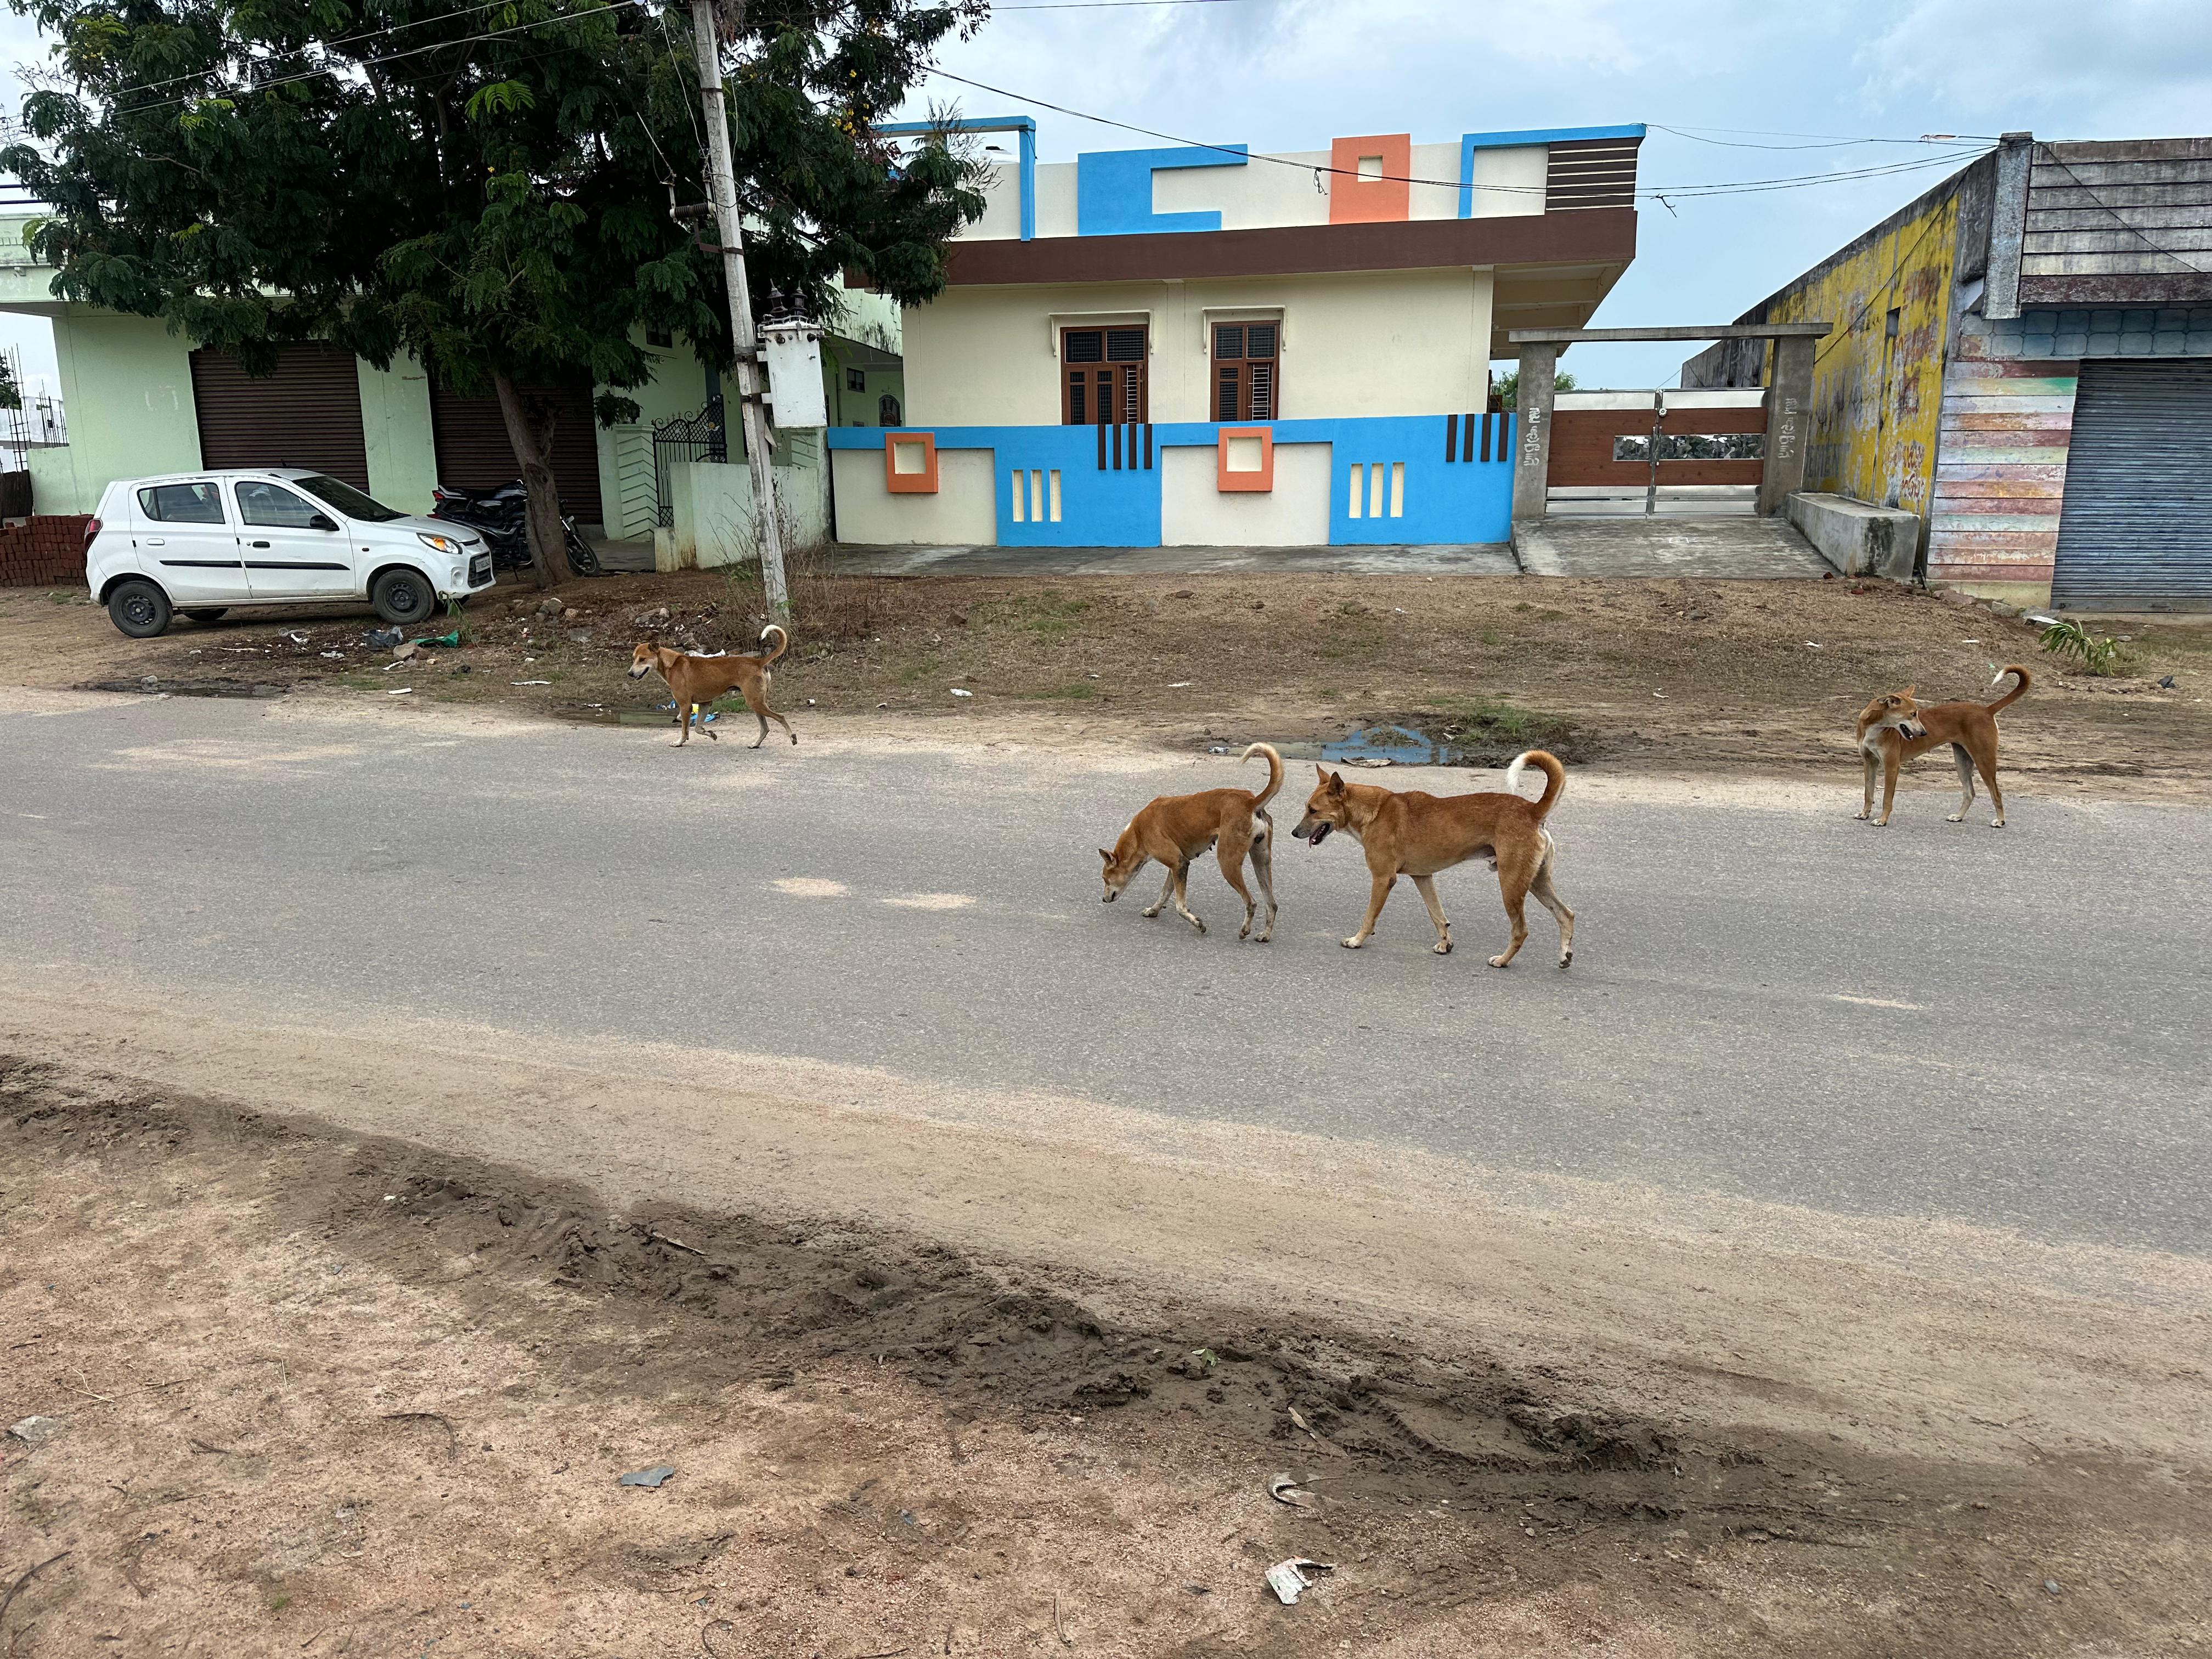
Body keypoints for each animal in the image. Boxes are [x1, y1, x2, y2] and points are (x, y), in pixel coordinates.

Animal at [629, 626, 796, 749]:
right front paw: (710, 733)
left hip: (755, 703)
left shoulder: (685, 706)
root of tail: (758, 662)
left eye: (642, 659)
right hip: (756, 703)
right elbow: (698, 728)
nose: (630, 673)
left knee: (780, 717)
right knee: (765, 728)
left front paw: (679, 743)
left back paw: (792, 737)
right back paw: (756, 744)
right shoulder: (705, 704)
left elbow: (685, 730)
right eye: (634, 658)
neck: (672, 664)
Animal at [1099, 743, 1282, 941]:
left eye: (1105, 879)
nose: (1103, 899)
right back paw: (1265, 934)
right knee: (1272, 904)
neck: (1138, 833)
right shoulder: (1177, 866)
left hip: (1228, 864)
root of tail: (1250, 801)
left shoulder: (1179, 864)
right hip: (1261, 861)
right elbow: (1164, 893)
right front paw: (1154, 910)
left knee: (1252, 902)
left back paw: (1245, 930)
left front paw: (1197, 923)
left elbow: (1180, 907)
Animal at [1292, 749, 1574, 969]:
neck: (1375, 812)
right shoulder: (1422, 877)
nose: (1294, 833)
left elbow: (1369, 916)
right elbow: (1437, 915)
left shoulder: (1383, 879)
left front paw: (1356, 941)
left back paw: (1503, 960)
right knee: (1566, 914)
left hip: (1511, 884)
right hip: (1536, 881)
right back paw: (1564, 956)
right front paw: (1445, 943)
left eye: (1313, 810)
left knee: (1521, 930)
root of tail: (1532, 811)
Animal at [1855, 664, 2030, 828]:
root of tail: (1987, 710)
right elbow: (1868, 792)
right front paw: (1865, 813)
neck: (1874, 728)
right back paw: (1959, 816)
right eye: (1913, 714)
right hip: (1962, 762)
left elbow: (1887, 799)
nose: (1924, 732)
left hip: (1984, 760)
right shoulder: (1869, 762)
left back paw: (2000, 821)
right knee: (1970, 793)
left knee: (1996, 793)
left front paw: (1882, 820)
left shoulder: (1892, 767)